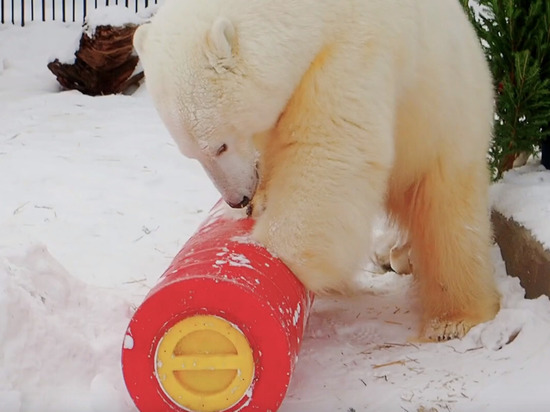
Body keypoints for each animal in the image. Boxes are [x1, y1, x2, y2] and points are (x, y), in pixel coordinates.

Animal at [133, 0, 500, 342]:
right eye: (192, 154)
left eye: (219, 146)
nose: (238, 199)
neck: (309, 12)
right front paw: (260, 202)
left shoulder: (353, 52)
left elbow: (329, 148)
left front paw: (279, 253)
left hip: (444, 122)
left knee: (447, 217)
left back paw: (453, 318)